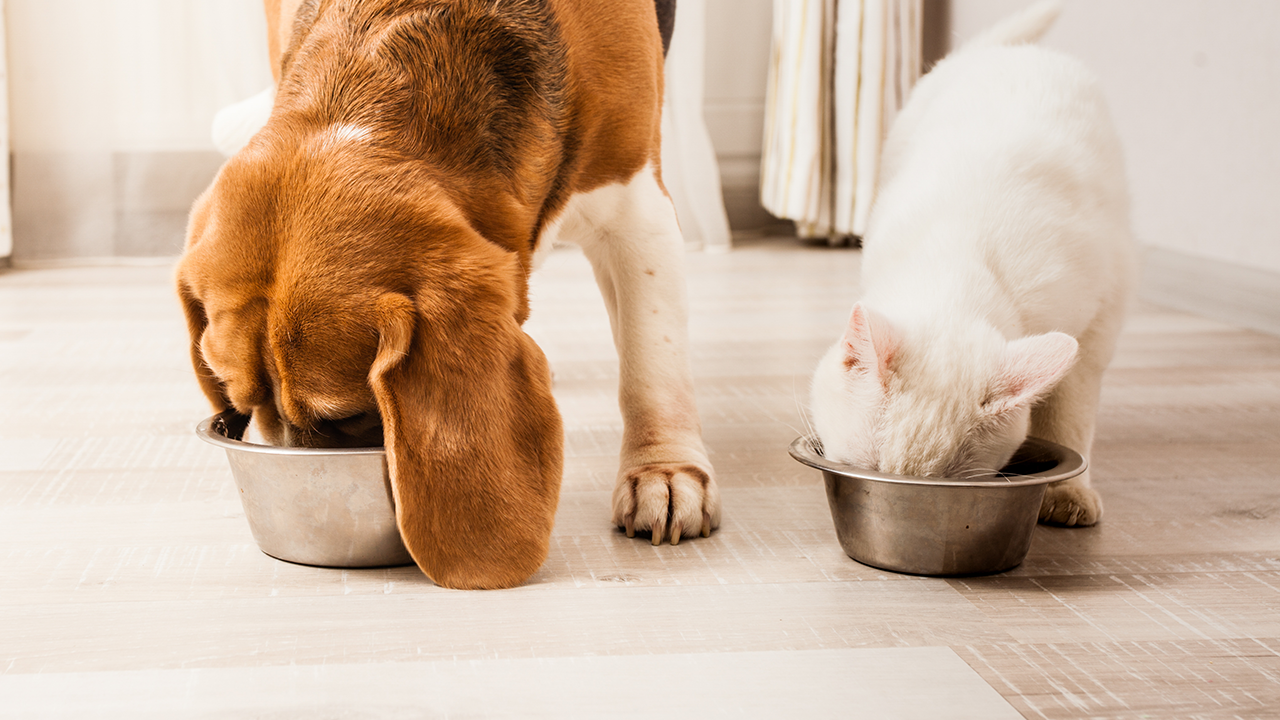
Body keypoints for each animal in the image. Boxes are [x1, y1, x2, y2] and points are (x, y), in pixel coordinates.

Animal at [814, 1, 1136, 527]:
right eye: (868, 471)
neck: (957, 263)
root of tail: (1007, 51)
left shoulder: (1098, 324)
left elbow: (1069, 418)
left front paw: (1069, 493)